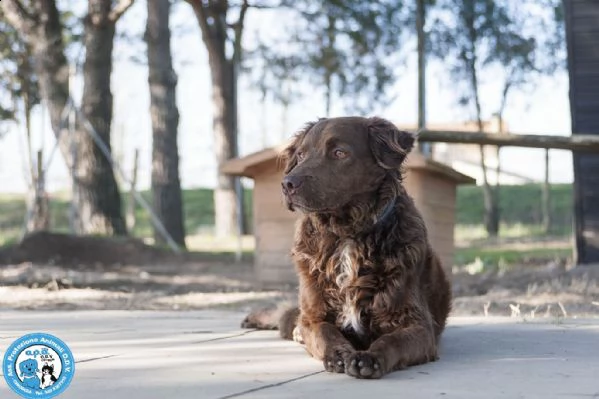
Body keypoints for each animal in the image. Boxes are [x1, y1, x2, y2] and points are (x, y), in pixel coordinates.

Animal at [278, 117, 452, 380]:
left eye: (339, 153)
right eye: (301, 154)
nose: (287, 184)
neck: (347, 235)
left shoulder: (419, 325)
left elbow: (392, 341)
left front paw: (368, 358)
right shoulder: (314, 318)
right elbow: (326, 333)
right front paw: (339, 354)